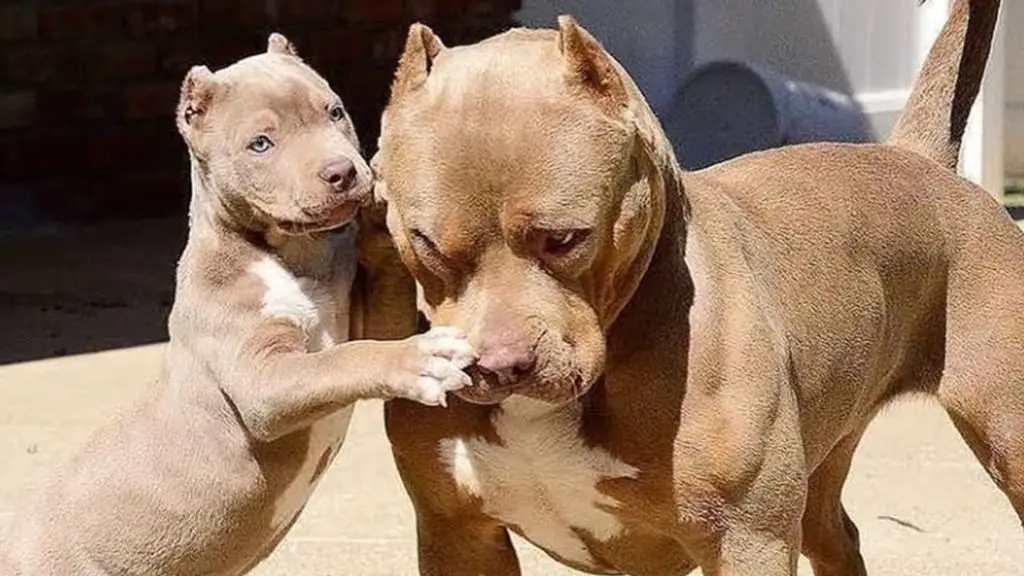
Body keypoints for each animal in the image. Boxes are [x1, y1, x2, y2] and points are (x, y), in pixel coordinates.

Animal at [0, 33, 471, 569]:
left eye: (334, 112)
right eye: (260, 144)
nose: (343, 173)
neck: (294, 257)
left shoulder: (364, 316)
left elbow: (374, 328)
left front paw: (377, 215)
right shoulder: (261, 375)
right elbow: (344, 359)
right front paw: (425, 359)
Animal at [376, 1, 1015, 573]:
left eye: (564, 238)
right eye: (427, 244)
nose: (501, 365)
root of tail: (918, 158)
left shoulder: (746, 541)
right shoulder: (457, 532)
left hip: (1009, 436)